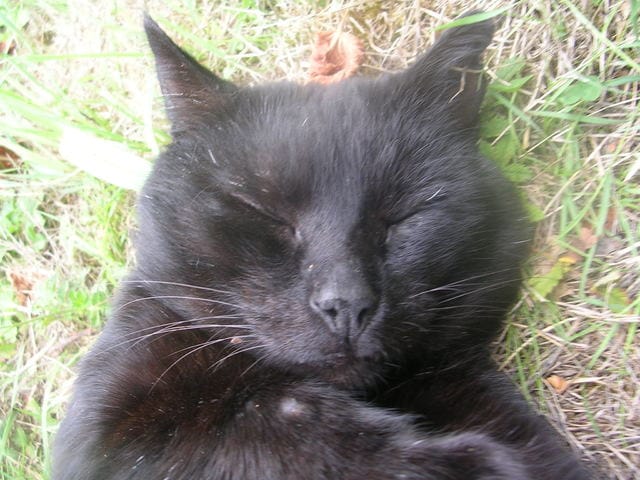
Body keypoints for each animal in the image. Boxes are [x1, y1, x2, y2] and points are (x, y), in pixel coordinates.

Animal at [53, 13, 596, 480]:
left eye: (403, 216)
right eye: (263, 212)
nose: (347, 304)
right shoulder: (108, 432)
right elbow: (265, 426)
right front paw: (464, 465)